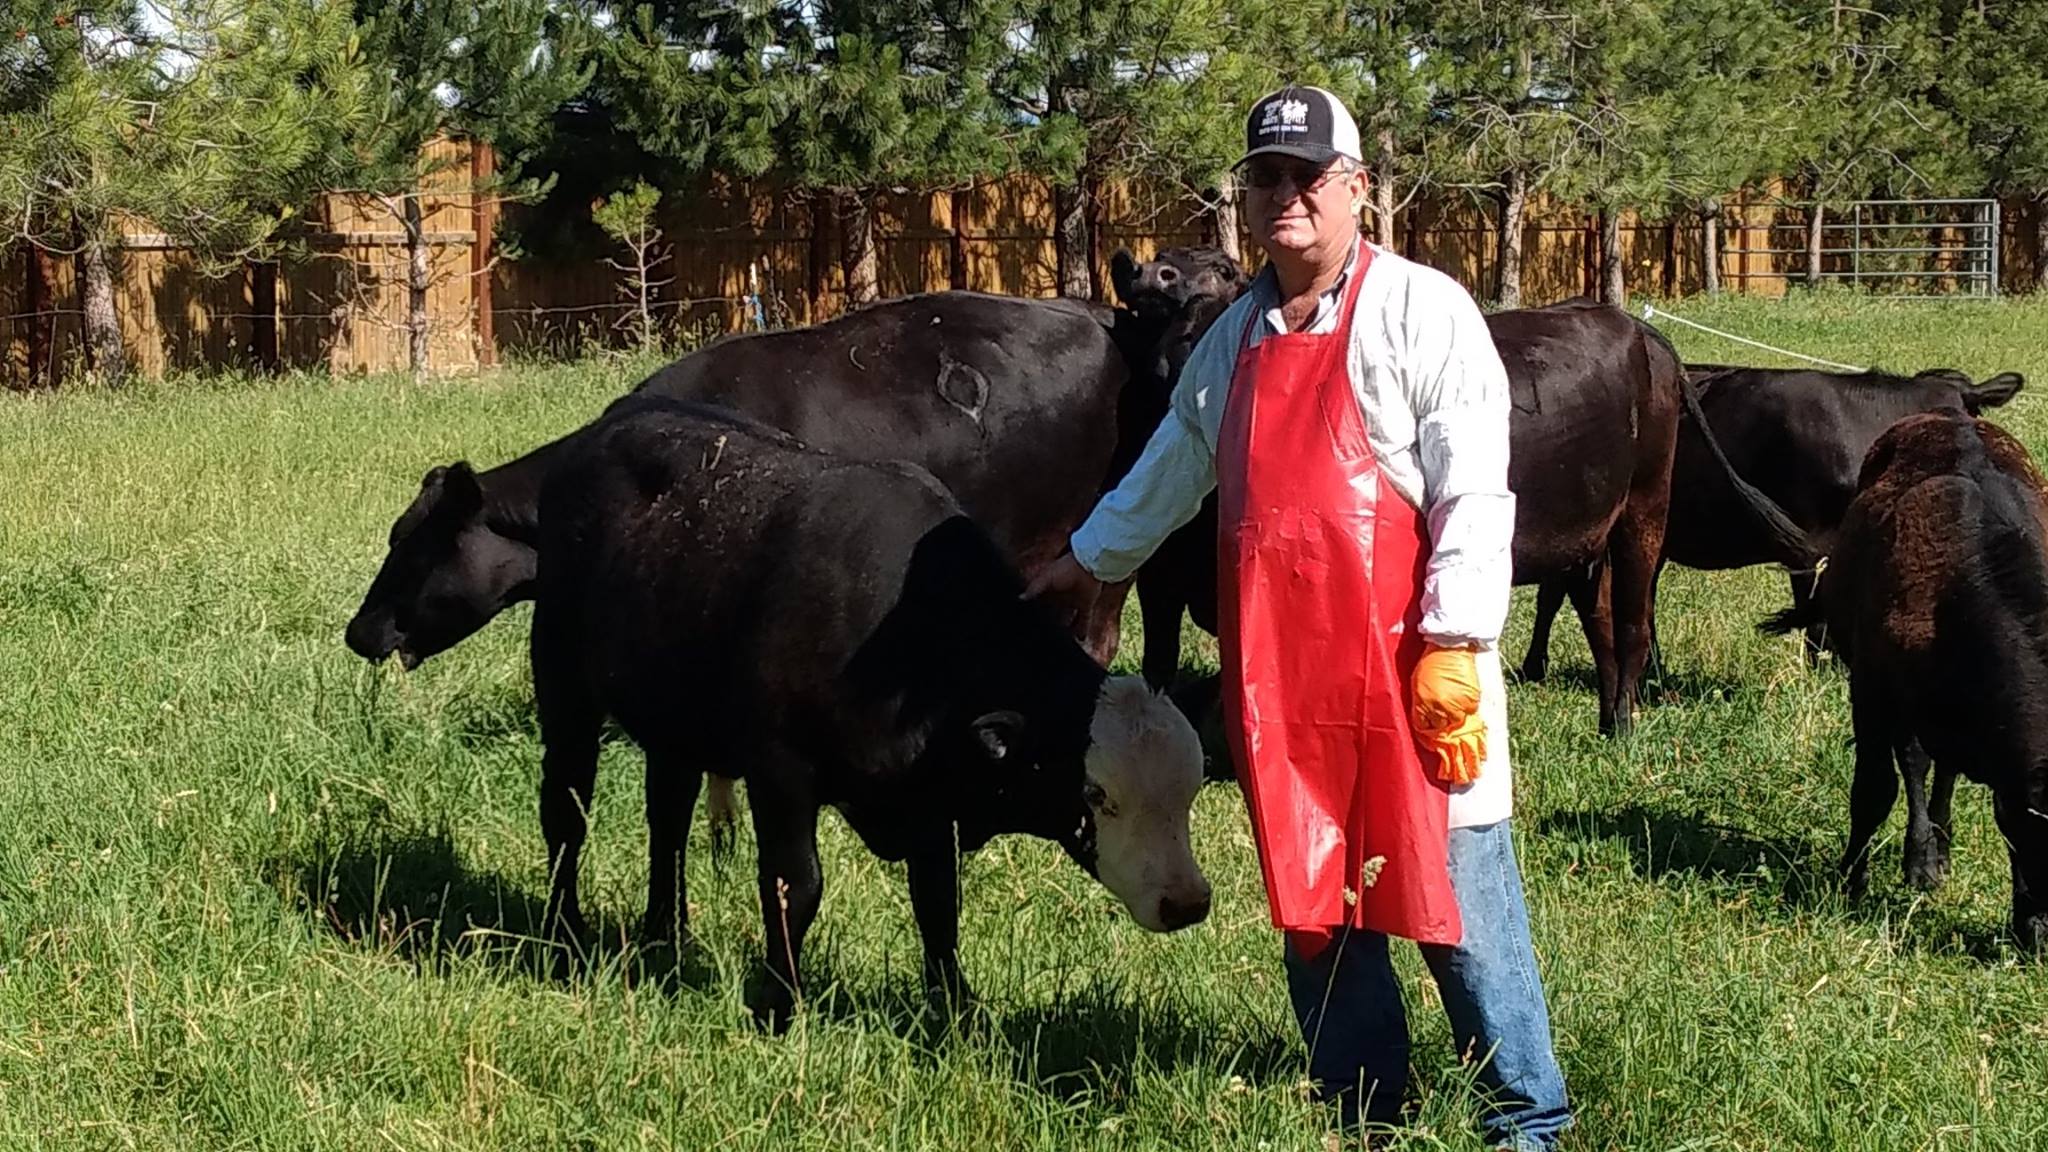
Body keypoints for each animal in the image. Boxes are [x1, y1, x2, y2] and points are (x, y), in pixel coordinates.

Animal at [529, 396, 1213, 1027]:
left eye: (1189, 792)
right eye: (1096, 795)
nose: (1187, 902)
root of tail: (617, 420)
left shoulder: (931, 799)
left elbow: (938, 899)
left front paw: (957, 1009)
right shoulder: (781, 771)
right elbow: (794, 886)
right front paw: (778, 1003)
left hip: (674, 721)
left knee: (667, 819)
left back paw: (664, 934)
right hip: (564, 691)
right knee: (566, 812)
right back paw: (563, 935)